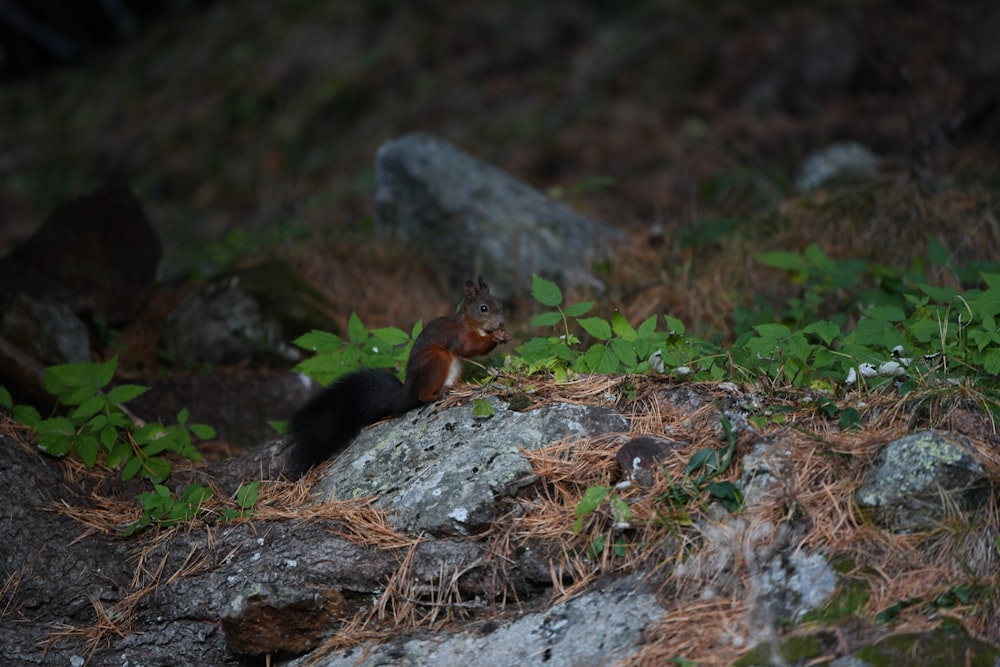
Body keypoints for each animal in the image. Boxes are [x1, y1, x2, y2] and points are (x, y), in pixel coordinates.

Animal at [288, 276, 508, 480]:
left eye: (500, 304)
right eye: (484, 308)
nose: (502, 323)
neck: (472, 323)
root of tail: (407, 391)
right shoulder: (458, 335)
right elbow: (469, 348)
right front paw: (496, 337)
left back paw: (461, 386)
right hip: (437, 360)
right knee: (421, 396)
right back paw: (439, 394)